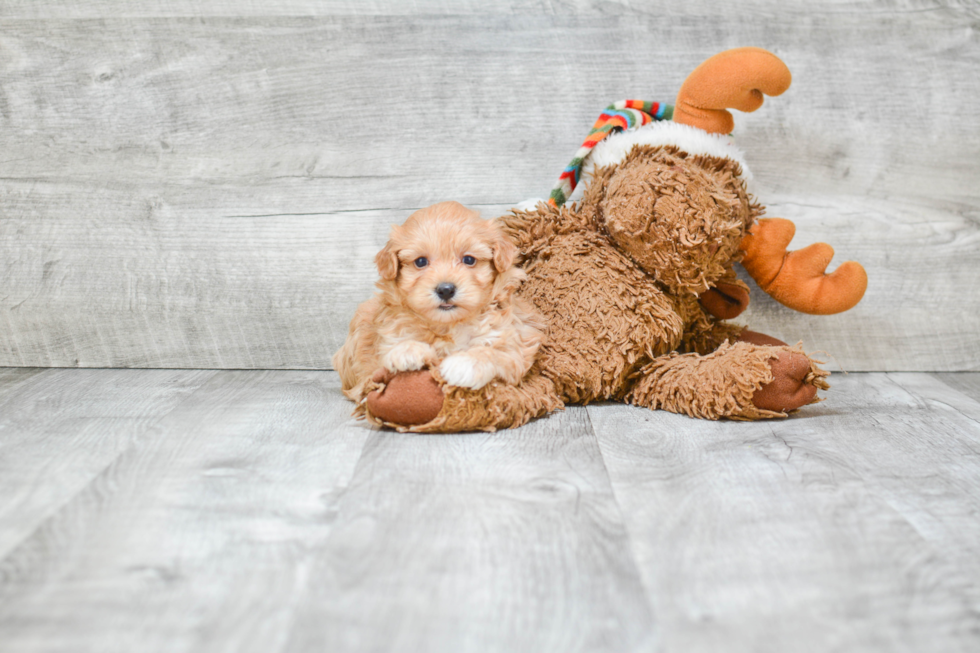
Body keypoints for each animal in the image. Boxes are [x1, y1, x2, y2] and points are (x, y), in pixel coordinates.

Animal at [332, 200, 544, 402]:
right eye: (420, 262)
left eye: (469, 260)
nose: (445, 290)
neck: (447, 325)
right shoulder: (382, 343)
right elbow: (383, 358)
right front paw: (407, 350)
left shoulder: (512, 345)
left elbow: (494, 353)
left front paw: (465, 363)